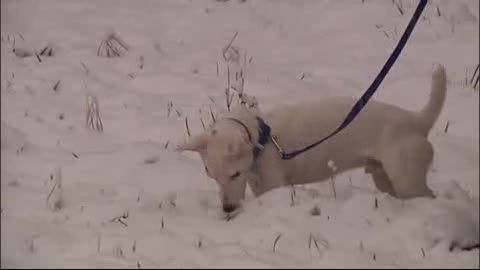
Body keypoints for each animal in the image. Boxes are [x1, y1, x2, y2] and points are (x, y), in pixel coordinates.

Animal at [178, 65, 448, 213]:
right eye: (212, 176)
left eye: (235, 174)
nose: (227, 209)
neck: (261, 140)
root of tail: (418, 120)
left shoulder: (274, 184)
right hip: (385, 178)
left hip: (407, 181)